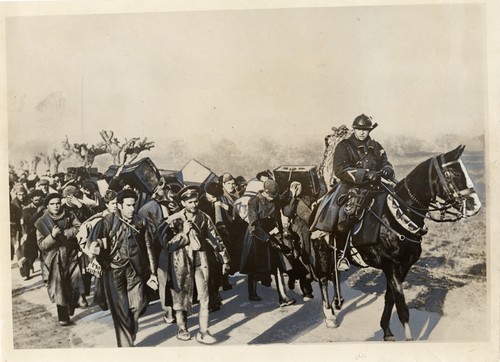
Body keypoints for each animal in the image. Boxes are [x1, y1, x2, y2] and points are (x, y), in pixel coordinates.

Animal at [312, 146, 480, 340]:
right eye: (455, 173)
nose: (476, 205)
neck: (396, 216)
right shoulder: (391, 266)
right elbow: (401, 305)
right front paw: (408, 338)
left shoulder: (404, 266)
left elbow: (390, 298)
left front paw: (386, 330)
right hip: (321, 252)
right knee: (323, 279)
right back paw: (330, 315)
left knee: (334, 275)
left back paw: (337, 301)